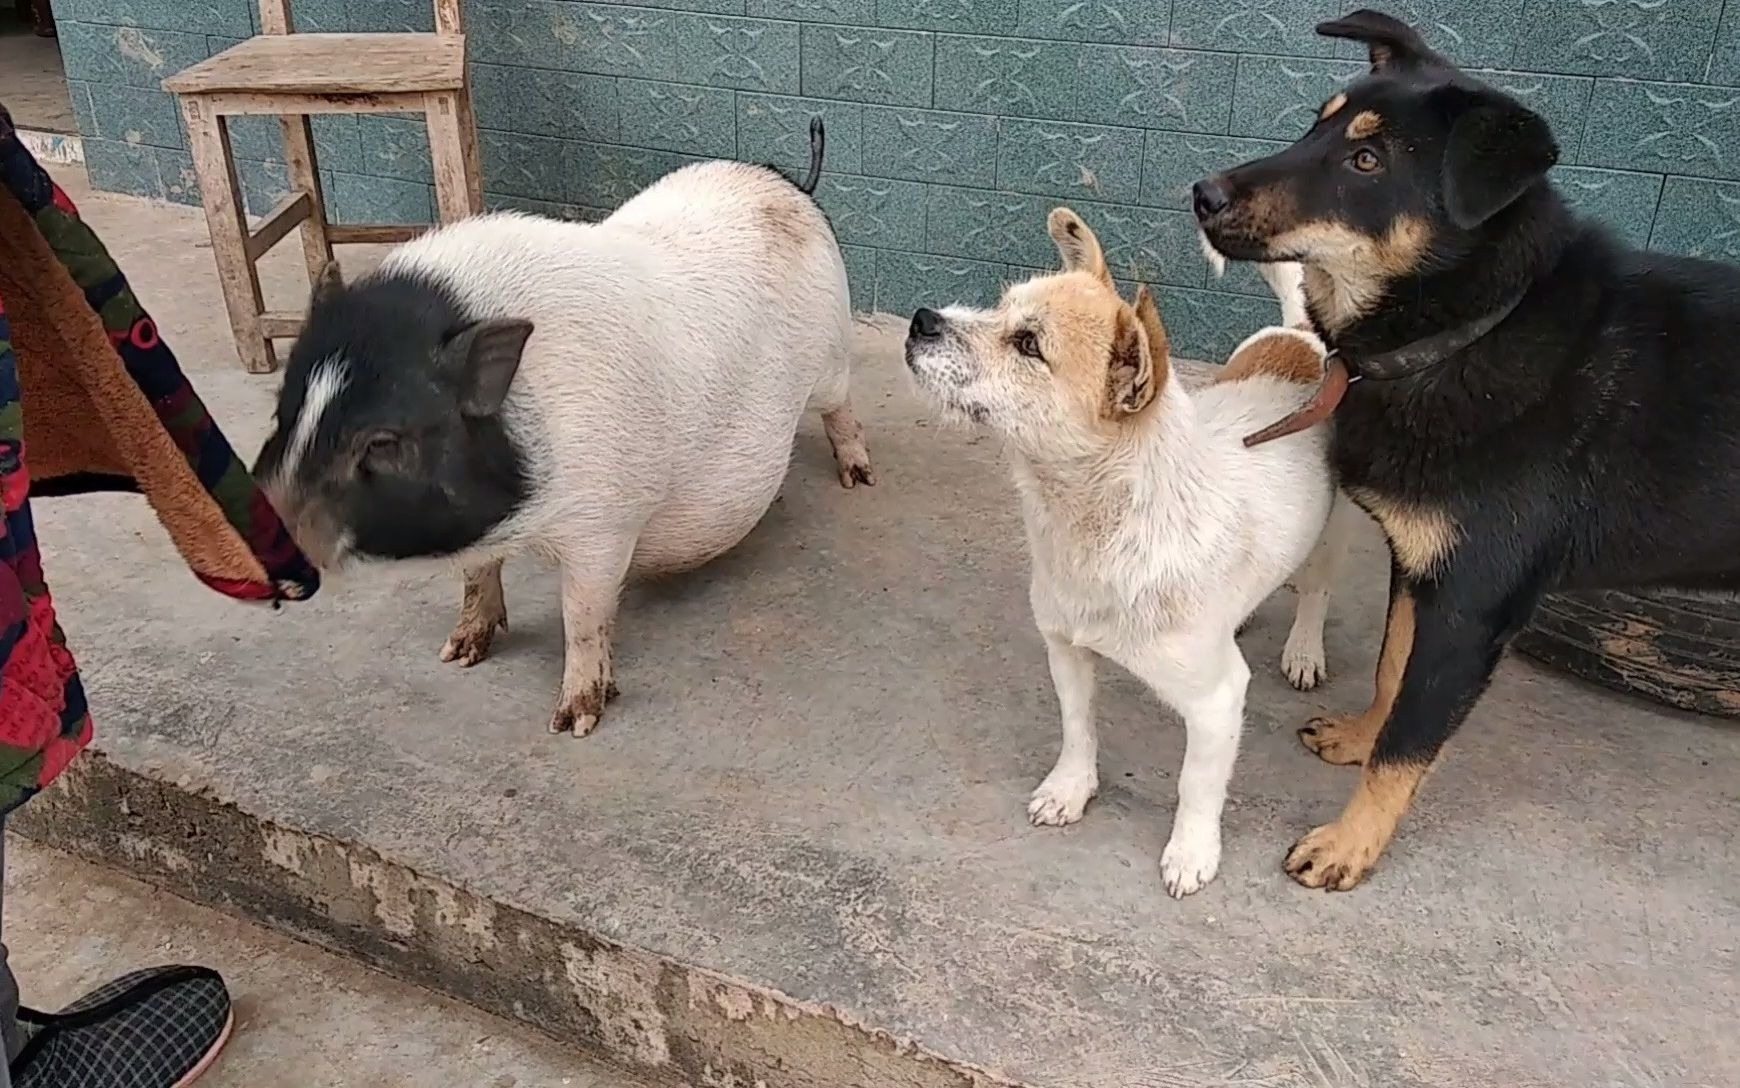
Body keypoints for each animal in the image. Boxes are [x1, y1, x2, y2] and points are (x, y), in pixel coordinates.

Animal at [252, 125, 876, 738]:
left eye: (381, 442)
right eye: (283, 413)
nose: (266, 519)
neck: (528, 509)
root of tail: (788, 183)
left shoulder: (605, 523)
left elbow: (582, 615)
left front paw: (573, 723)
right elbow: (476, 575)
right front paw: (456, 655)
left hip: (831, 355)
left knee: (841, 407)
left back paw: (859, 479)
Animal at [904, 208, 1350, 898]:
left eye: (1028, 345)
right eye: (1001, 309)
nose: (921, 317)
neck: (1100, 526)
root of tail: (1304, 337)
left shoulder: (1218, 702)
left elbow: (1197, 783)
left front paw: (1191, 851)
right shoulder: (1066, 650)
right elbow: (1077, 728)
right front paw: (1071, 789)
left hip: (1331, 530)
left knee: (1317, 587)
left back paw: (1304, 649)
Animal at [1204, 10, 1740, 891]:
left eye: (1367, 161)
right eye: (1316, 125)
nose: (1202, 194)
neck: (1478, 325)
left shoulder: (1474, 600)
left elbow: (1409, 738)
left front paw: (1348, 845)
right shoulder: (1421, 566)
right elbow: (1392, 670)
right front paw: (1357, 738)